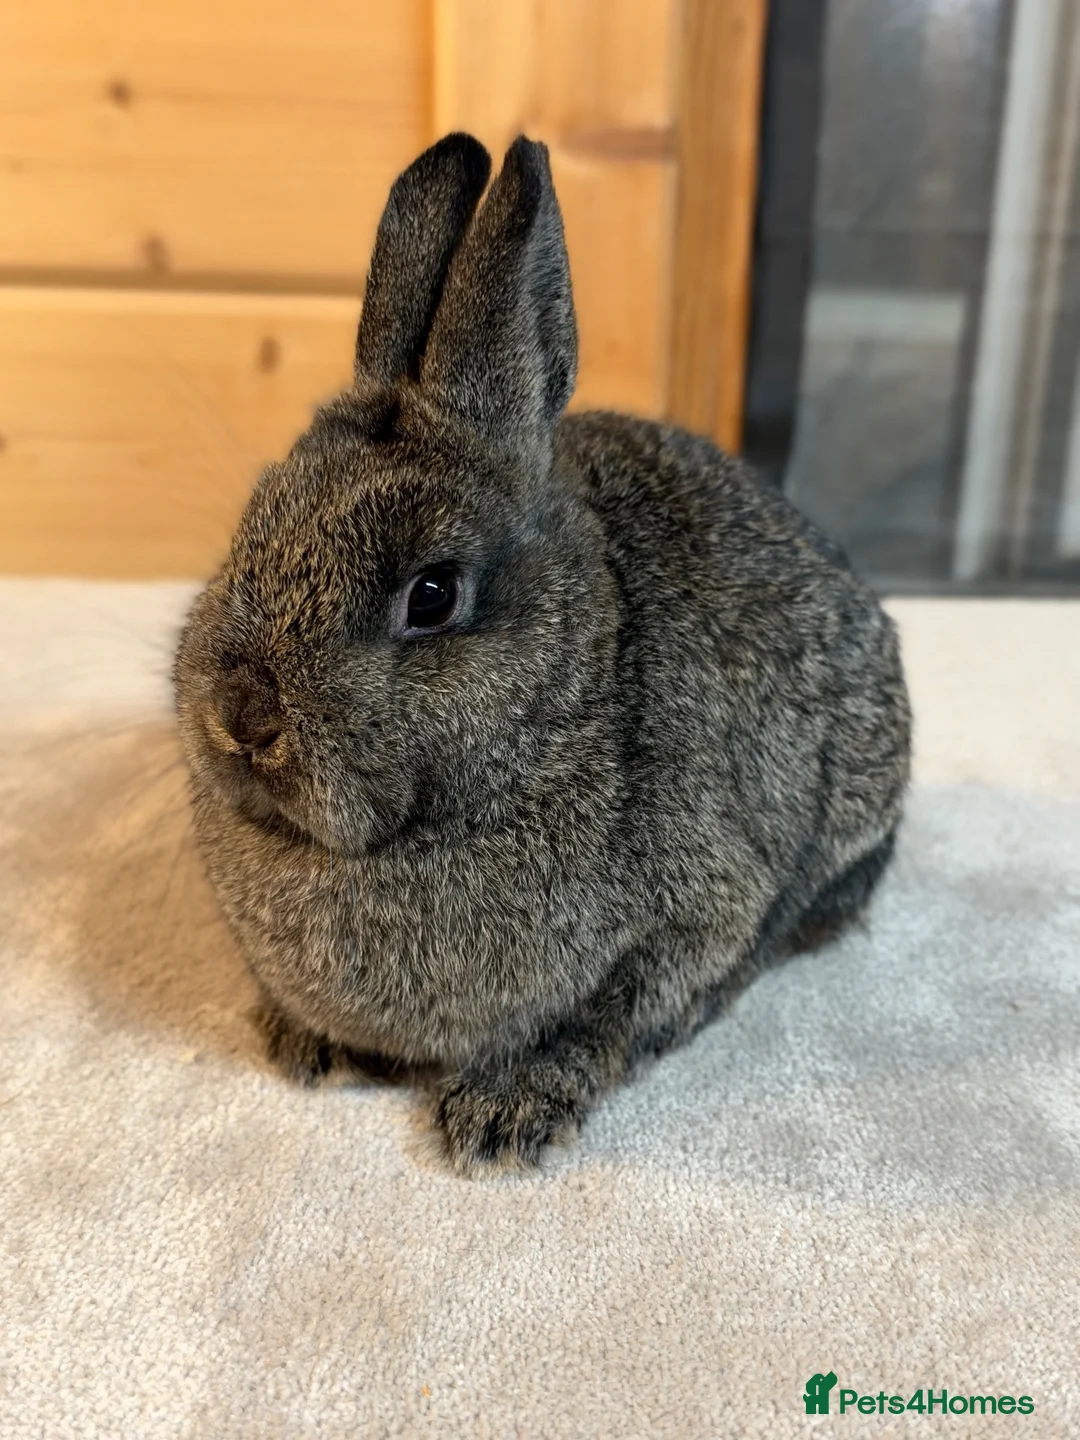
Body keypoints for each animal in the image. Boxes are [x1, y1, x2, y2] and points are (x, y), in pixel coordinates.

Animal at [174, 132, 911, 1174]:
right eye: (253, 523)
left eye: (432, 595)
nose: (241, 715)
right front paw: (303, 1043)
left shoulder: (698, 917)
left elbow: (610, 1021)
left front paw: (504, 1113)